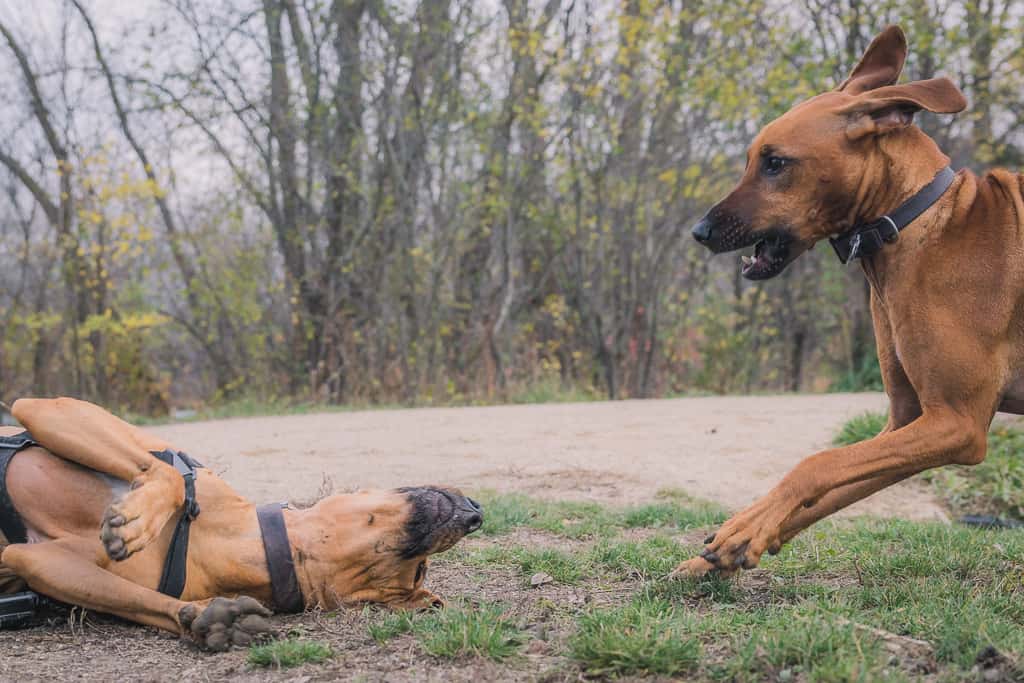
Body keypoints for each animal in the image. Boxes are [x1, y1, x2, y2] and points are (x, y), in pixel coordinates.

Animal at [0, 397, 483, 651]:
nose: (477, 514)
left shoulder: (38, 559)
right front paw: (137, 517)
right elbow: (171, 476)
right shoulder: (53, 408)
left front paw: (208, 619)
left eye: (417, 573)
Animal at [679, 26, 1024, 581]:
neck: (912, 221)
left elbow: (817, 463)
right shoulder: (908, 421)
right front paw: (736, 541)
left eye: (775, 162)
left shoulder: (957, 422)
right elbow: (825, 489)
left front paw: (744, 529)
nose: (700, 232)